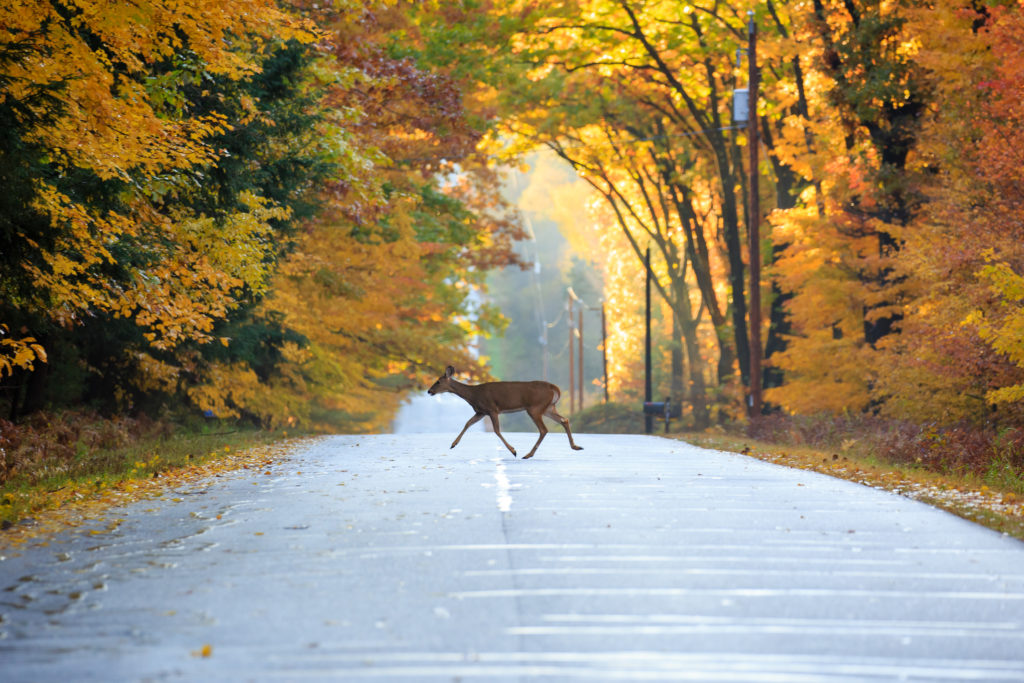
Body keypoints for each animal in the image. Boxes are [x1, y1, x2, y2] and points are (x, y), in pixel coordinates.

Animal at [425, 362, 585, 458]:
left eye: (438, 381)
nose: (429, 391)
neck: (473, 395)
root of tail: (555, 388)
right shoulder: (481, 411)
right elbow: (468, 423)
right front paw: (453, 444)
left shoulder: (491, 408)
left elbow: (496, 430)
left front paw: (513, 450)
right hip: (548, 407)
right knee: (564, 420)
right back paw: (575, 446)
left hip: (535, 407)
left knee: (544, 429)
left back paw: (528, 454)